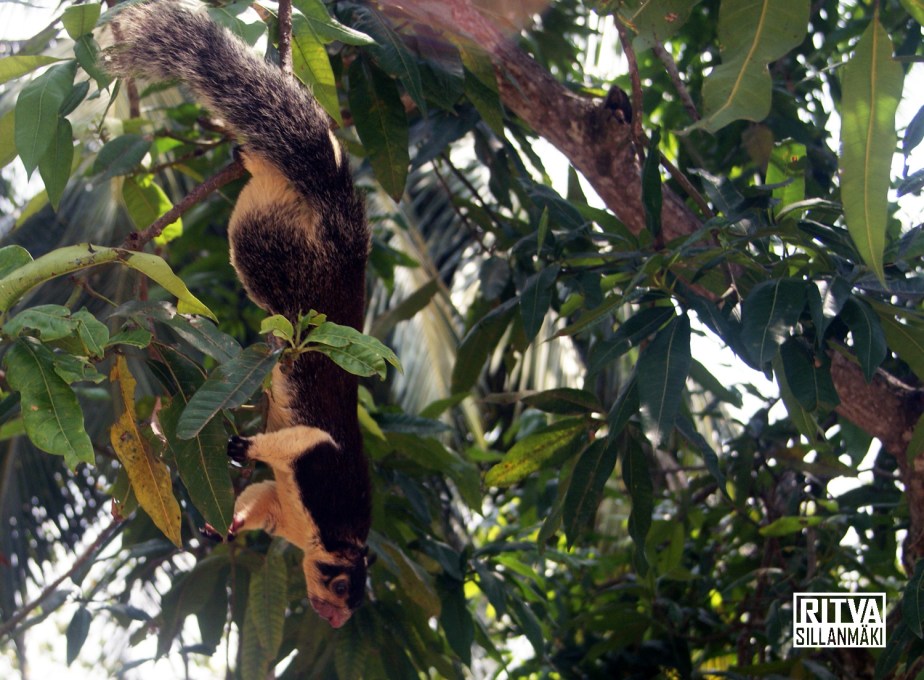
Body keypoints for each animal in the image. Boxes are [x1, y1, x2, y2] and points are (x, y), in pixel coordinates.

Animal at [106, 0, 372, 628]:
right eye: (342, 585)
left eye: (354, 600)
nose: (335, 620)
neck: (324, 540)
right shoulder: (326, 480)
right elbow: (305, 444)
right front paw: (247, 450)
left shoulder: (283, 507)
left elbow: (258, 501)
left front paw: (224, 525)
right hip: (279, 256)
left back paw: (251, 154)